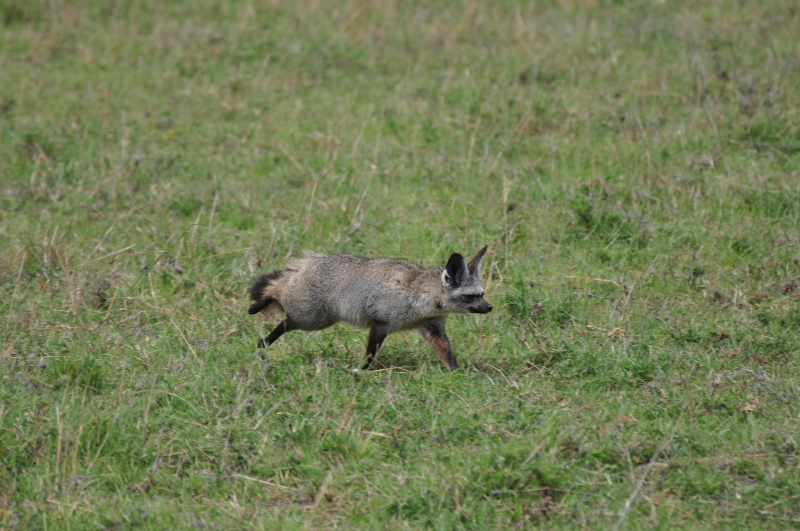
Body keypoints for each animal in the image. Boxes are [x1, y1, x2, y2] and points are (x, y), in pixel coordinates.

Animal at [247, 245, 492, 371]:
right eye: (471, 296)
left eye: (482, 294)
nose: (490, 307)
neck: (416, 294)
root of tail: (311, 261)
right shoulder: (381, 324)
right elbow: (370, 353)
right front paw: (362, 371)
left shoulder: (433, 329)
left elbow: (448, 354)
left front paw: (457, 373)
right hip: (311, 319)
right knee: (276, 294)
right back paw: (260, 313)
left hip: (312, 319)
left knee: (282, 307)